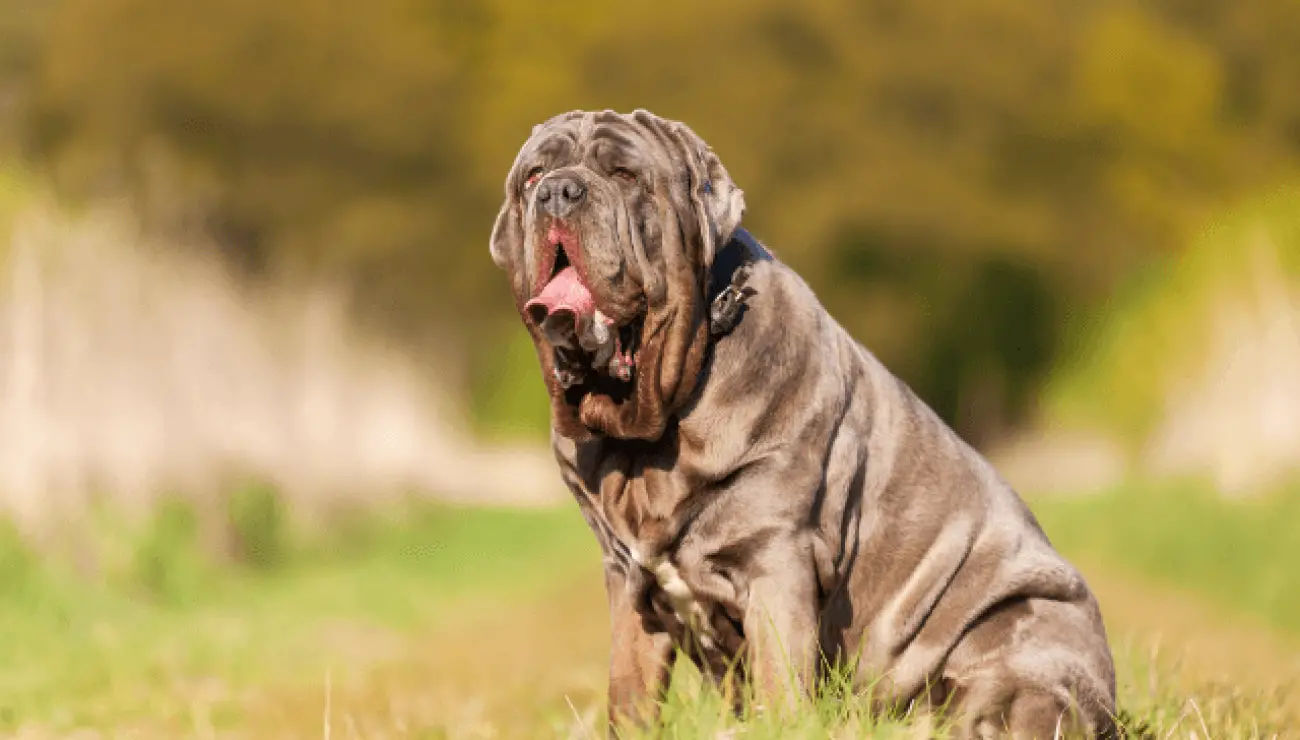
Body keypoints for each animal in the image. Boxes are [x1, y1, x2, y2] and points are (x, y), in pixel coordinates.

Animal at [488, 111, 1118, 738]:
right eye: (533, 176)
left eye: (624, 175)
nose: (558, 192)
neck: (651, 430)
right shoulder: (629, 583)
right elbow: (631, 696)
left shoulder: (777, 561)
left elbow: (780, 681)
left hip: (1021, 645)